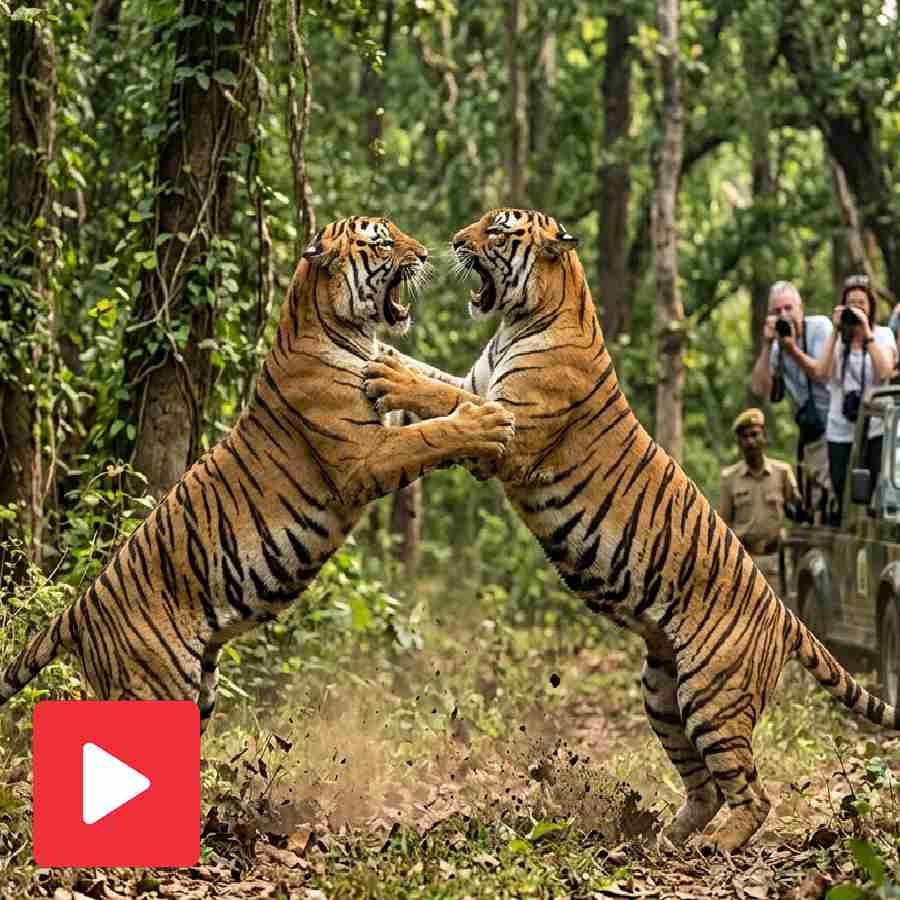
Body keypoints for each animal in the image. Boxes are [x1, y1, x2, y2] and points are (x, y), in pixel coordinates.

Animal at [0, 216, 514, 733]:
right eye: (383, 243)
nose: (426, 254)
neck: (342, 326)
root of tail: (80, 609)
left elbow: (439, 384)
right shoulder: (365, 457)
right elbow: (430, 436)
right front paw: (486, 423)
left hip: (199, 692)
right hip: (154, 688)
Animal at [362, 207, 900, 852]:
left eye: (498, 230)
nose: (454, 242)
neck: (523, 318)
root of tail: (783, 614)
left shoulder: (506, 427)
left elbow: (437, 391)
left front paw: (390, 376)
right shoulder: (476, 390)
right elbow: (439, 380)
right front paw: (389, 361)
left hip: (711, 695)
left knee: (751, 792)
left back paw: (713, 846)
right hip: (661, 692)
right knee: (706, 786)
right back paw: (663, 839)